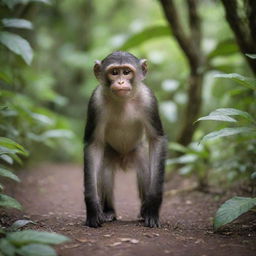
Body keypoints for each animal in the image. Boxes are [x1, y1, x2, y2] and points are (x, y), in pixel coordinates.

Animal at [83, 51, 166, 227]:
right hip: (110, 153)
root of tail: (124, 159)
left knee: (144, 170)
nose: (120, 81)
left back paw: (143, 211)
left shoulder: (149, 99)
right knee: (105, 171)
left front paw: (152, 207)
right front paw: (92, 208)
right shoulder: (95, 102)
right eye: (114, 72)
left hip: (137, 152)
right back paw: (109, 211)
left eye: (126, 72)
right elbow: (93, 145)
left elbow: (157, 140)